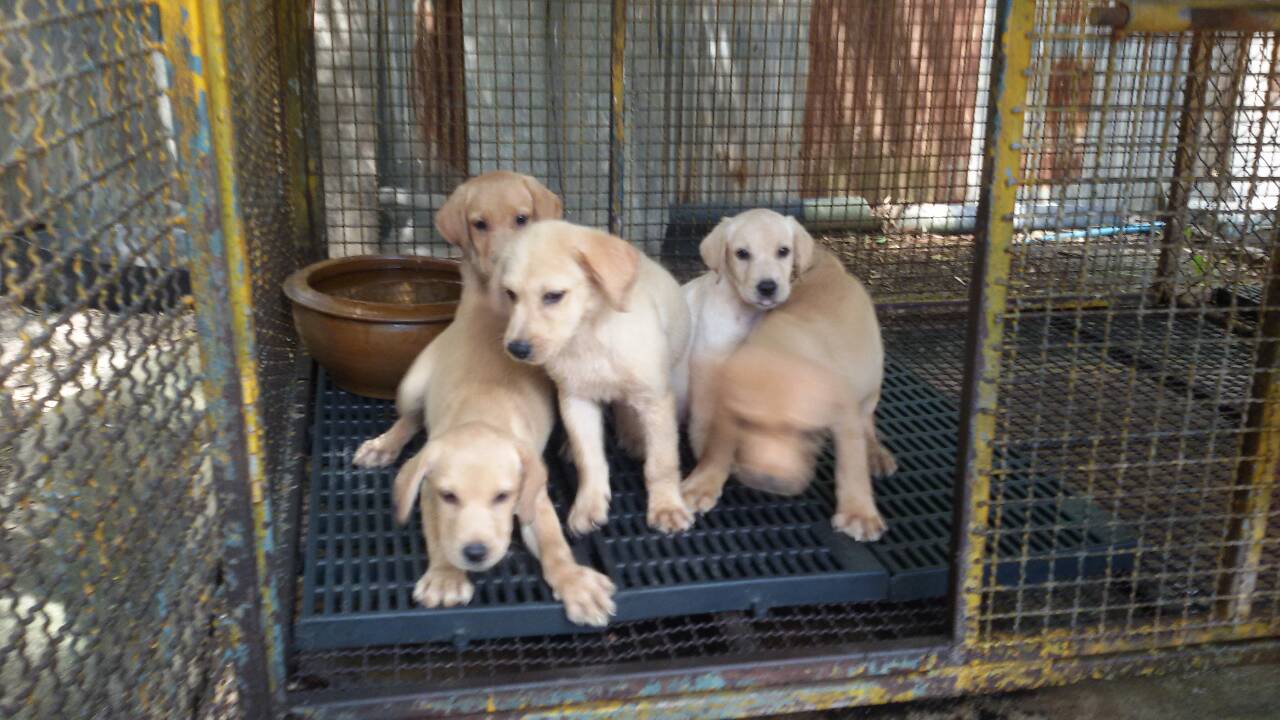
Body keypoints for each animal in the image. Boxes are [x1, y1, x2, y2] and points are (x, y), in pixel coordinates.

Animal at [353, 285, 615, 625]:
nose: (475, 553)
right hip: (412, 387)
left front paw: (573, 582)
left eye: (502, 497)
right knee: (410, 417)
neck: (481, 412)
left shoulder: (533, 497)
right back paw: (383, 445)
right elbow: (440, 533)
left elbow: (553, 542)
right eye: (449, 497)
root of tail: (477, 309)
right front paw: (445, 576)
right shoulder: (428, 491)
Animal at [494, 220, 695, 535]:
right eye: (511, 294)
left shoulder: (655, 399)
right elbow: (589, 458)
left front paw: (667, 507)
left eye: (553, 295)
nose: (516, 349)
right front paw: (588, 505)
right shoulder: (575, 400)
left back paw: (634, 437)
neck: (588, 335)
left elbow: (661, 462)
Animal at [674, 209, 814, 457]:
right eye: (742, 254)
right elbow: (706, 414)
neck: (748, 313)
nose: (767, 287)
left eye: (783, 251)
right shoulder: (708, 362)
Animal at [680, 246, 896, 541]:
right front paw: (702, 483)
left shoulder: (845, 419)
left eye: (809, 433)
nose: (769, 481)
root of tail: (830, 268)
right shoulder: (726, 408)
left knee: (868, 421)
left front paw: (858, 513)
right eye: (747, 425)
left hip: (870, 380)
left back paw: (875, 454)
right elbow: (717, 448)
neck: (783, 346)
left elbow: (851, 467)